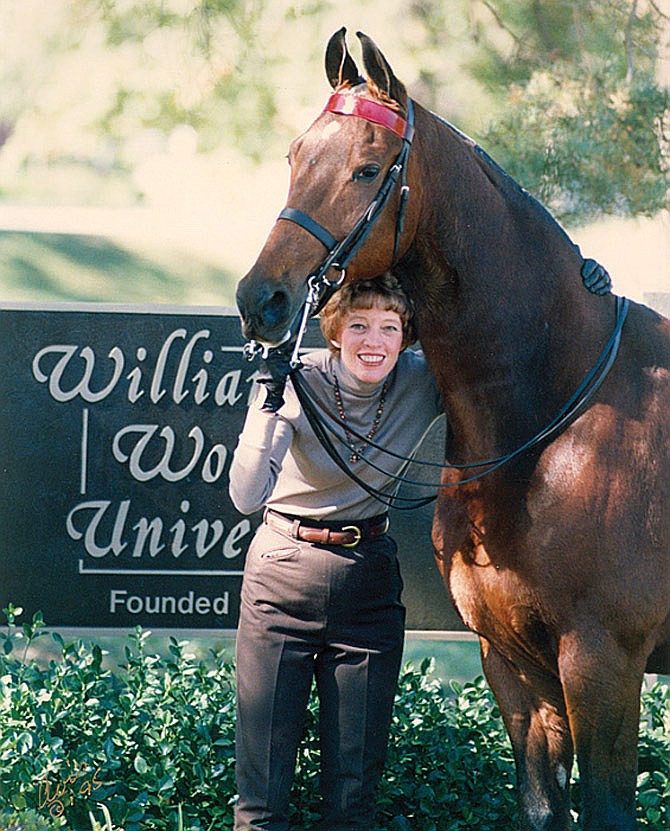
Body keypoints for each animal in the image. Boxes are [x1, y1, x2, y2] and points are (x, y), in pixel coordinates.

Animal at [236, 27, 670, 831]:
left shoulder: (603, 661)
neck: (557, 422)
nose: (262, 299)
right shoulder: (515, 664)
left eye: (367, 168)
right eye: (294, 156)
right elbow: (542, 804)